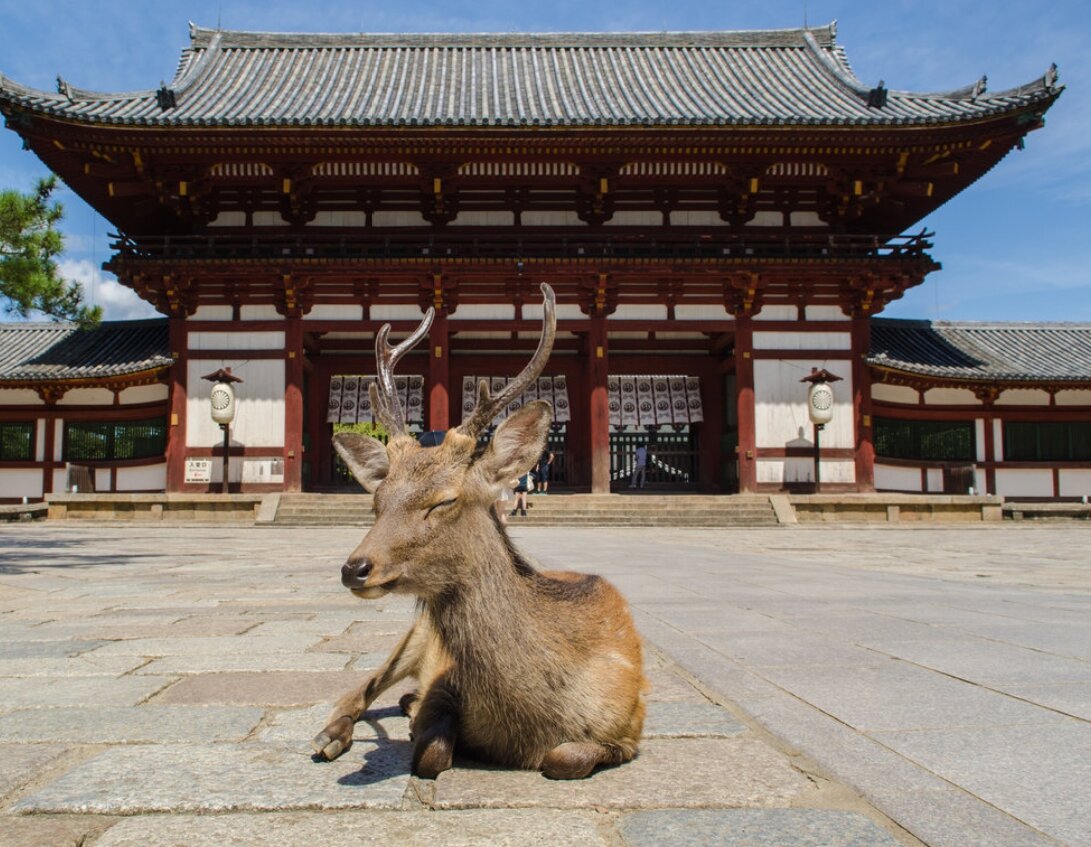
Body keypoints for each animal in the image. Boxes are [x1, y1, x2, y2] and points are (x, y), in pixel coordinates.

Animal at [309, 283, 645, 781]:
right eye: (377, 499)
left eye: (444, 500)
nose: (355, 568)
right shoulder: (443, 681)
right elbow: (430, 755)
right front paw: (419, 727)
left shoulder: (629, 725)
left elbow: (565, 757)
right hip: (413, 636)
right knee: (364, 684)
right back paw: (331, 734)